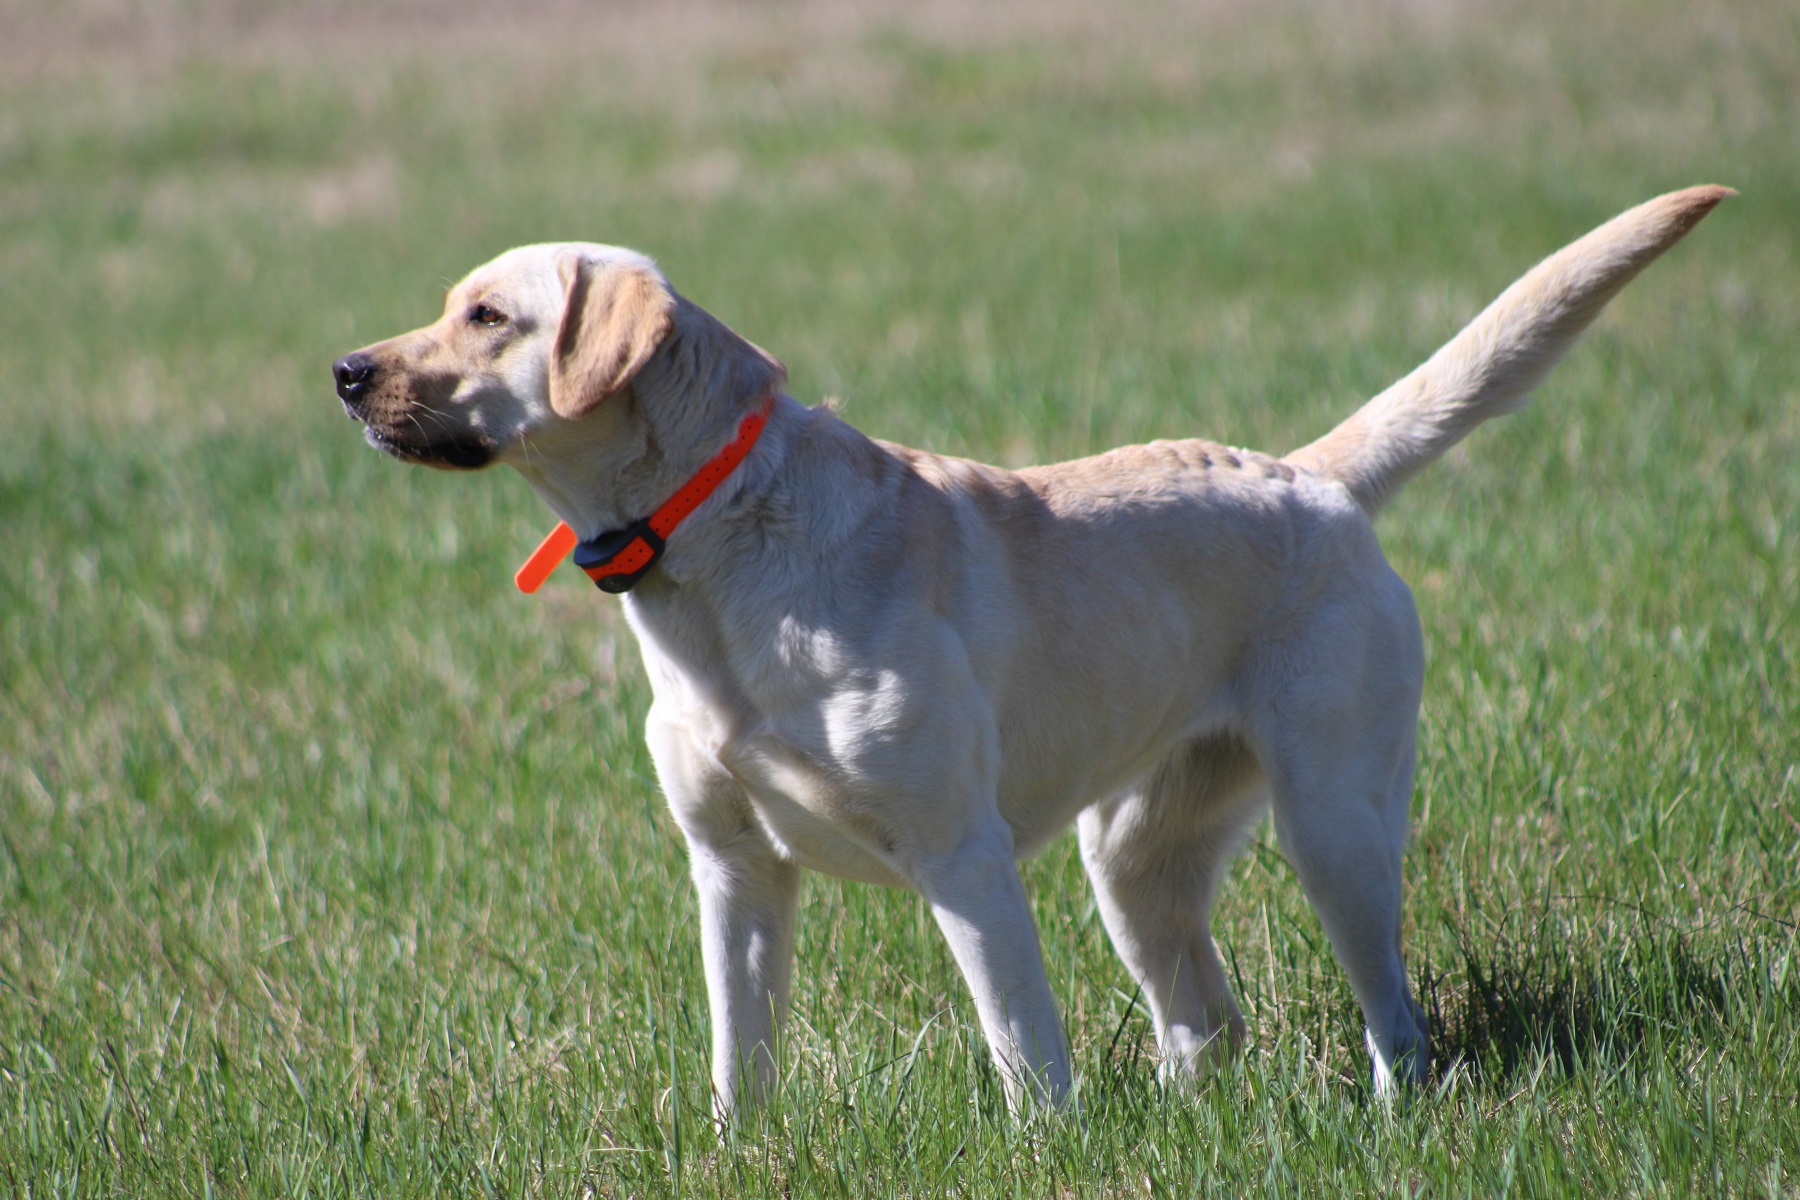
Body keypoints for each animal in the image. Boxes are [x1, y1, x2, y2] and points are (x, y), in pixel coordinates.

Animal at [334, 185, 1728, 1115]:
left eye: (486, 315)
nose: (344, 370)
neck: (712, 544)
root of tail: (1309, 475)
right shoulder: (731, 871)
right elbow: (743, 1053)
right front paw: (740, 1150)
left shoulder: (964, 856)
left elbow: (1023, 1049)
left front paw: (1046, 1151)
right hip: (1138, 864)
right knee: (1205, 1024)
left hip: (1334, 827)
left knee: (1395, 1017)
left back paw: (1390, 1117)